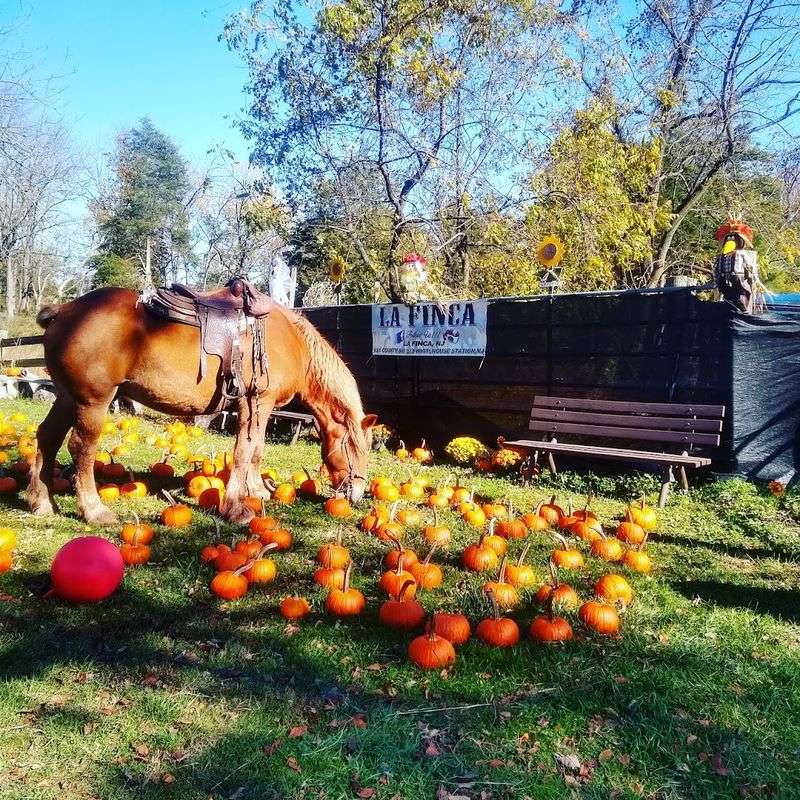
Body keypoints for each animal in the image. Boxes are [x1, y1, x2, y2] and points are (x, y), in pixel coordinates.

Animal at [27, 287, 376, 525]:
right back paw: (94, 510)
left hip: (67, 397)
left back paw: (42, 502)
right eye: (354, 448)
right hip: (93, 402)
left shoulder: (257, 407)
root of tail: (65, 310)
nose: (356, 494)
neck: (291, 340)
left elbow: (256, 450)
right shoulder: (256, 402)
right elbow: (245, 451)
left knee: (47, 438)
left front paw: (257, 491)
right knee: (81, 448)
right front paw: (236, 507)